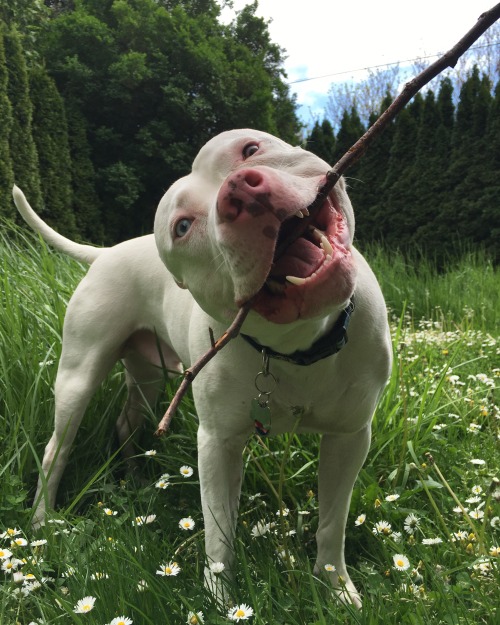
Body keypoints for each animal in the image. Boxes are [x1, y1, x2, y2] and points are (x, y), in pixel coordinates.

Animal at [13, 128, 392, 604]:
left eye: (250, 148)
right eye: (182, 227)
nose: (240, 191)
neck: (298, 346)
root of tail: (107, 252)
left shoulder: (350, 437)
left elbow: (332, 522)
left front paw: (336, 588)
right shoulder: (217, 443)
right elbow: (217, 532)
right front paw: (221, 602)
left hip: (147, 378)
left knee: (127, 423)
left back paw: (135, 479)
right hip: (78, 377)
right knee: (55, 450)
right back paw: (41, 522)